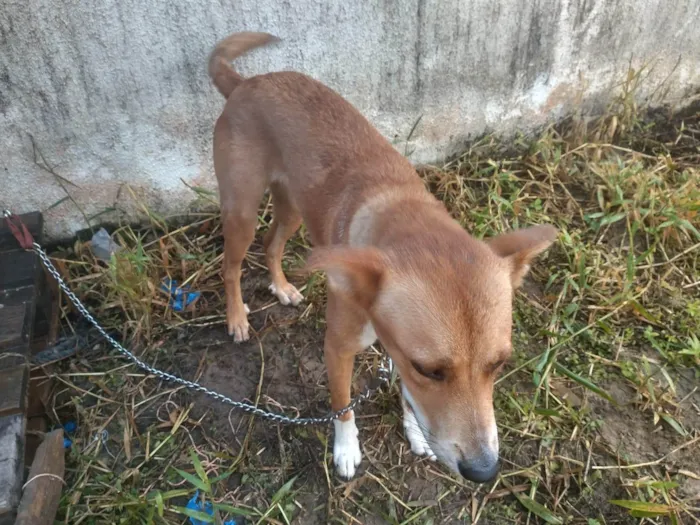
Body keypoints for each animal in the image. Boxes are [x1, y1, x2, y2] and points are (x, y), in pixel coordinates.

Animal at [208, 31, 556, 484]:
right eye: (430, 370)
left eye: (499, 364)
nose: (483, 471)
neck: (407, 219)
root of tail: (246, 83)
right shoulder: (339, 349)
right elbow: (343, 405)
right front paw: (346, 449)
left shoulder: (399, 346)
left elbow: (409, 397)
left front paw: (415, 431)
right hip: (242, 210)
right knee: (231, 266)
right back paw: (236, 316)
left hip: (293, 209)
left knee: (272, 245)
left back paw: (281, 287)